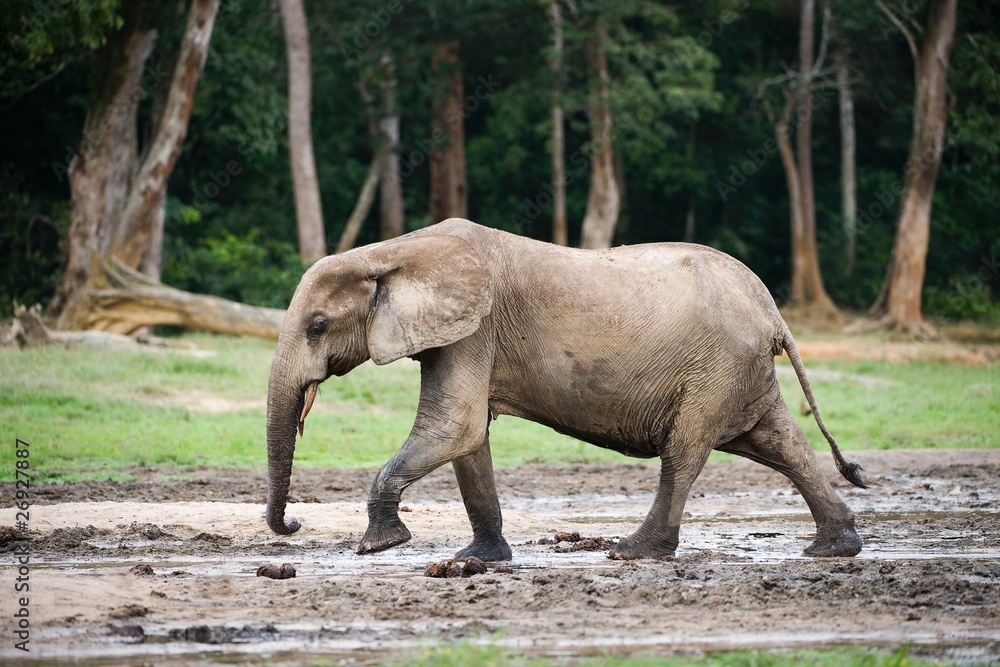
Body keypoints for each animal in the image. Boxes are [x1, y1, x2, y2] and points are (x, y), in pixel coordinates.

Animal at [265, 218, 866, 561]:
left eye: (317, 326)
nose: (294, 522)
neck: (391, 253)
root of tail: (772, 310)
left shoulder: (474, 330)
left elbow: (453, 427)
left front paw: (379, 545)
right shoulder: (465, 336)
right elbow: (468, 440)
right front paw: (479, 559)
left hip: (716, 367)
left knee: (685, 450)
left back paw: (633, 554)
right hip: (739, 371)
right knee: (781, 443)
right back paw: (833, 548)